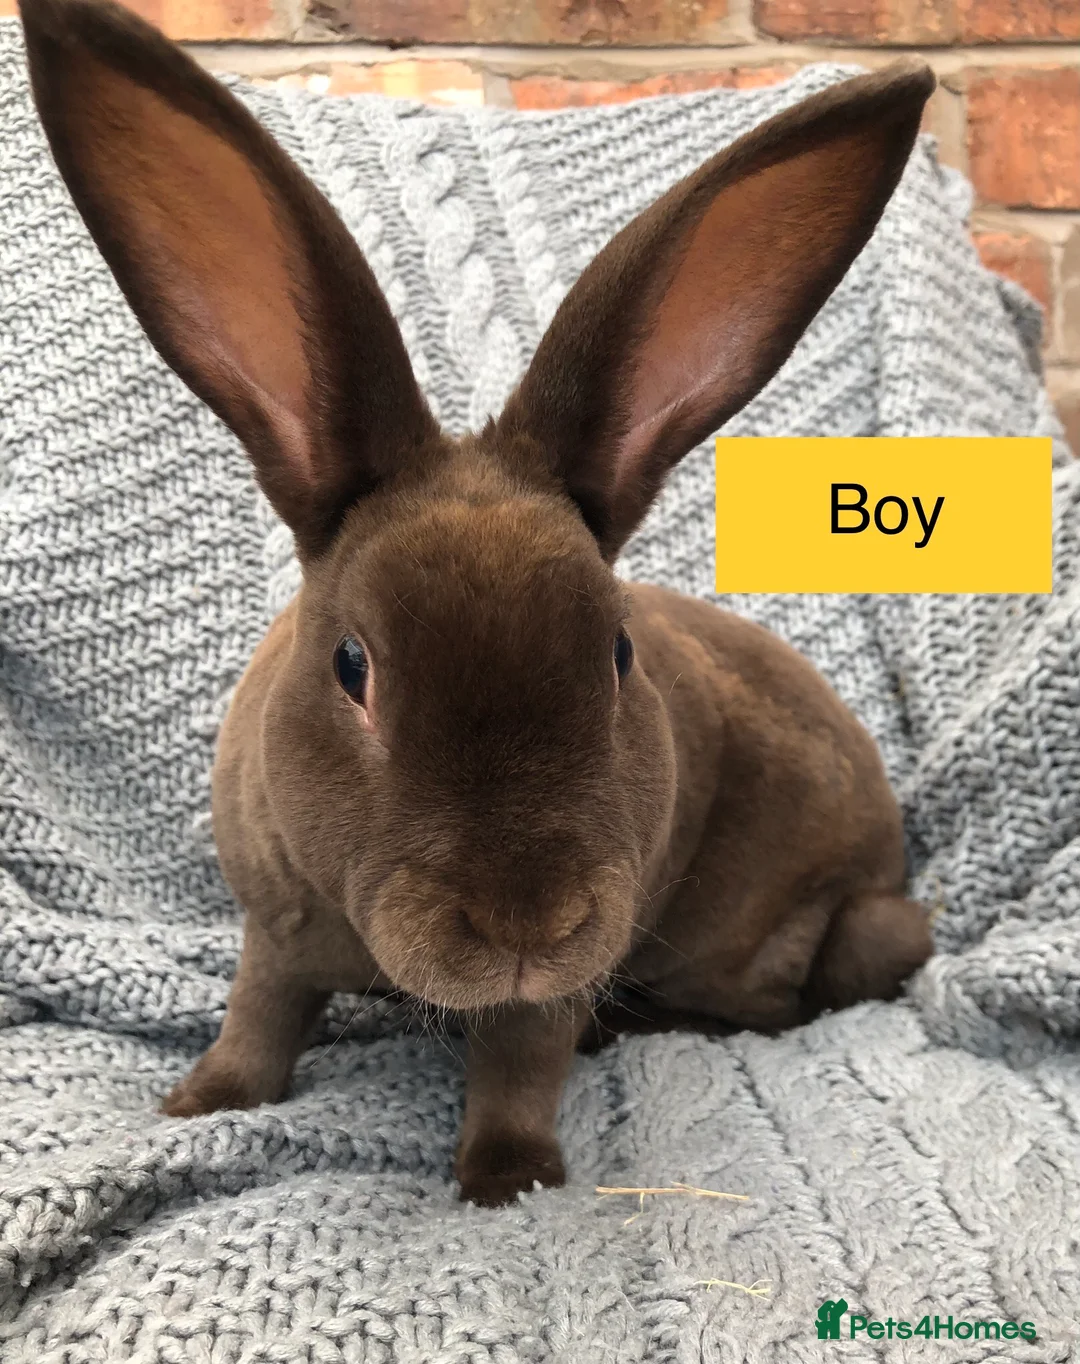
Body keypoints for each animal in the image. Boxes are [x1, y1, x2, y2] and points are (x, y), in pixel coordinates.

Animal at [22, 0, 936, 1208]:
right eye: (352, 667)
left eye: (618, 656)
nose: (525, 925)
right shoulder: (273, 929)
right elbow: (256, 1018)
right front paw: (201, 1103)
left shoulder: (558, 980)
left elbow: (521, 1061)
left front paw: (509, 1178)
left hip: (827, 932)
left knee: (775, 1005)